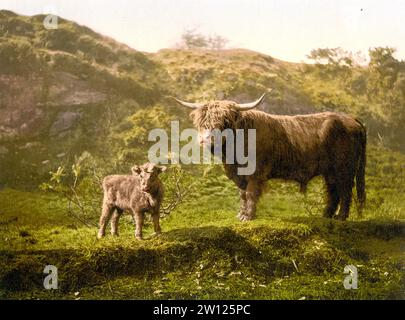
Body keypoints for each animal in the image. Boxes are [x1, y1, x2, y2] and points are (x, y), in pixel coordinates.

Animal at [171, 93, 366, 220]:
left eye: (225, 122)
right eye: (202, 122)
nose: (206, 140)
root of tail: (351, 119)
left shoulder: (256, 172)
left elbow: (250, 193)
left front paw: (248, 216)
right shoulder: (239, 174)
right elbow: (242, 194)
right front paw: (241, 214)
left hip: (344, 167)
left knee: (345, 189)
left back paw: (341, 217)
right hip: (330, 171)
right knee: (333, 190)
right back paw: (326, 215)